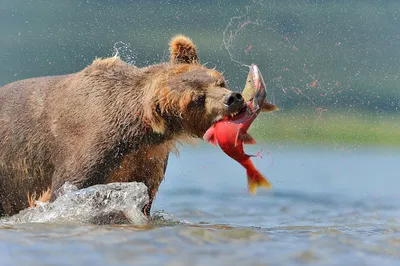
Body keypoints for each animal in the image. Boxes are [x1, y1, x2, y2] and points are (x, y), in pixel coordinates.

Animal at [0, 35, 244, 218]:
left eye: (218, 81)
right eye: (196, 99)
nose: (233, 98)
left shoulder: (146, 158)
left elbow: (144, 196)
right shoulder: (87, 146)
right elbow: (66, 189)